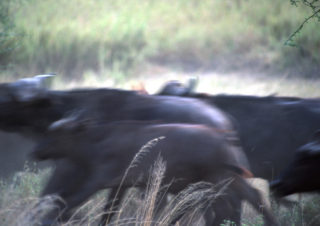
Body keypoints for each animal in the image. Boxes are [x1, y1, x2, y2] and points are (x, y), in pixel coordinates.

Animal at [31, 118, 278, 226]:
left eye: (55, 134)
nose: (36, 151)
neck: (98, 142)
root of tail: (223, 137)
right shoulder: (119, 186)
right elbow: (109, 211)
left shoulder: (97, 180)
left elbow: (68, 202)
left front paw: (53, 218)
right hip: (225, 178)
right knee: (252, 196)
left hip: (218, 178)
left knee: (237, 202)